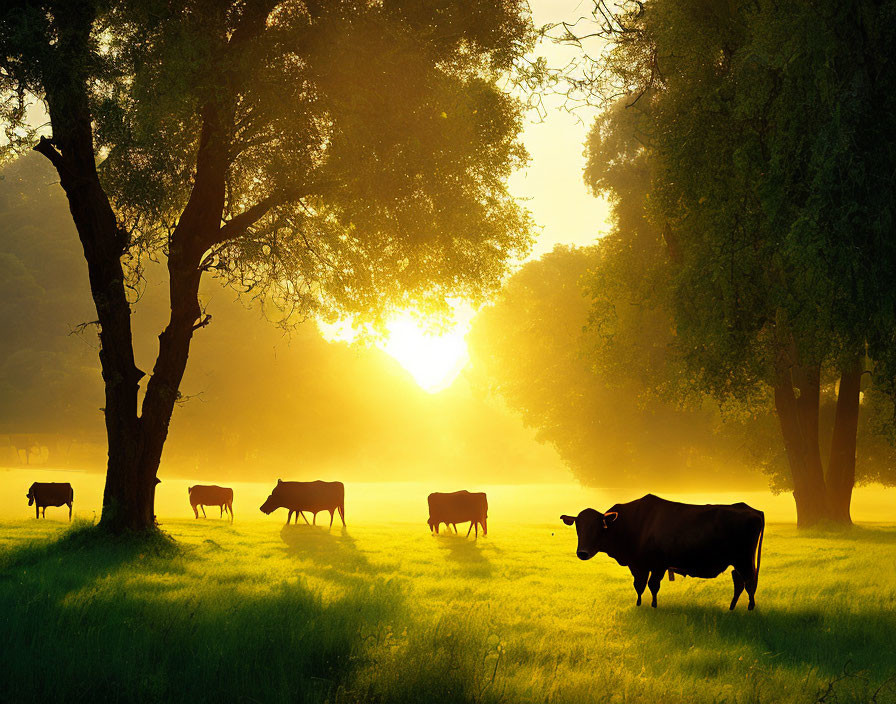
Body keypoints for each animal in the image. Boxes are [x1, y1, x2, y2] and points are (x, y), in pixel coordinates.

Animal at [560, 496, 764, 612]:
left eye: (597, 526)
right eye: (578, 527)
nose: (582, 553)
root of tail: (751, 509)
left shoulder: (659, 564)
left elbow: (652, 585)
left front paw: (654, 606)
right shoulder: (638, 565)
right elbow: (639, 585)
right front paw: (639, 604)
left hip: (744, 560)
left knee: (749, 582)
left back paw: (750, 608)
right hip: (737, 562)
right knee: (739, 581)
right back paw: (732, 607)